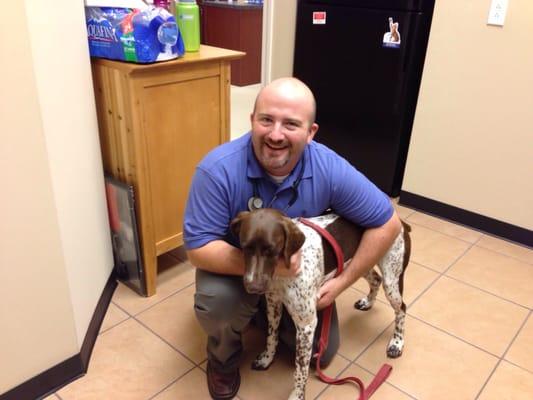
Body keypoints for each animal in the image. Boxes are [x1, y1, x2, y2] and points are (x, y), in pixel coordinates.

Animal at [230, 209, 412, 400]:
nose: (253, 287)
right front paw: (267, 359)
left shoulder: (306, 326)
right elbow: (271, 336)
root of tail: (400, 221)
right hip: (362, 263)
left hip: (391, 281)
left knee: (401, 309)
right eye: (245, 247)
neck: (284, 271)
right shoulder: (274, 305)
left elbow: (300, 370)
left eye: (271, 250)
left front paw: (297, 395)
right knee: (376, 280)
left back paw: (397, 343)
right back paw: (368, 302)